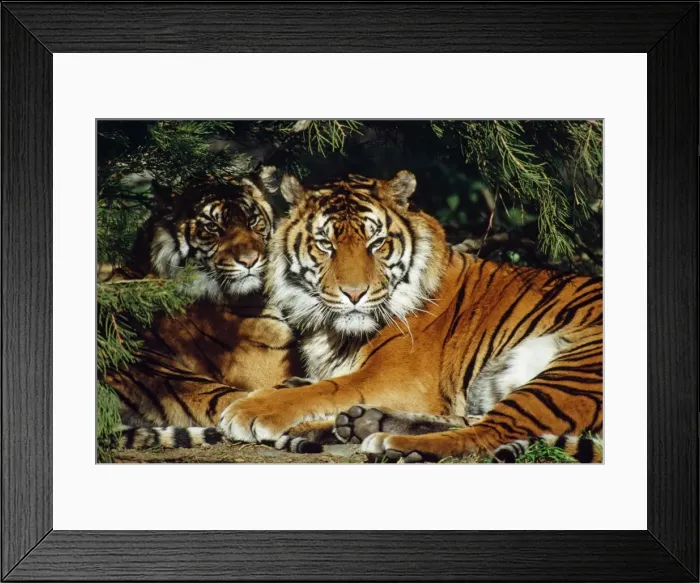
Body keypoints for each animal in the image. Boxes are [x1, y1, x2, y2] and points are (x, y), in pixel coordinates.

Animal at [216, 170, 603, 462]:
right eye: (326, 245)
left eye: (376, 244)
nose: (354, 294)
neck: (333, 331)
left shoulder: (393, 378)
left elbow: (326, 388)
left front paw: (248, 411)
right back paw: (365, 422)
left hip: (572, 371)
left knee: (489, 433)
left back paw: (390, 442)